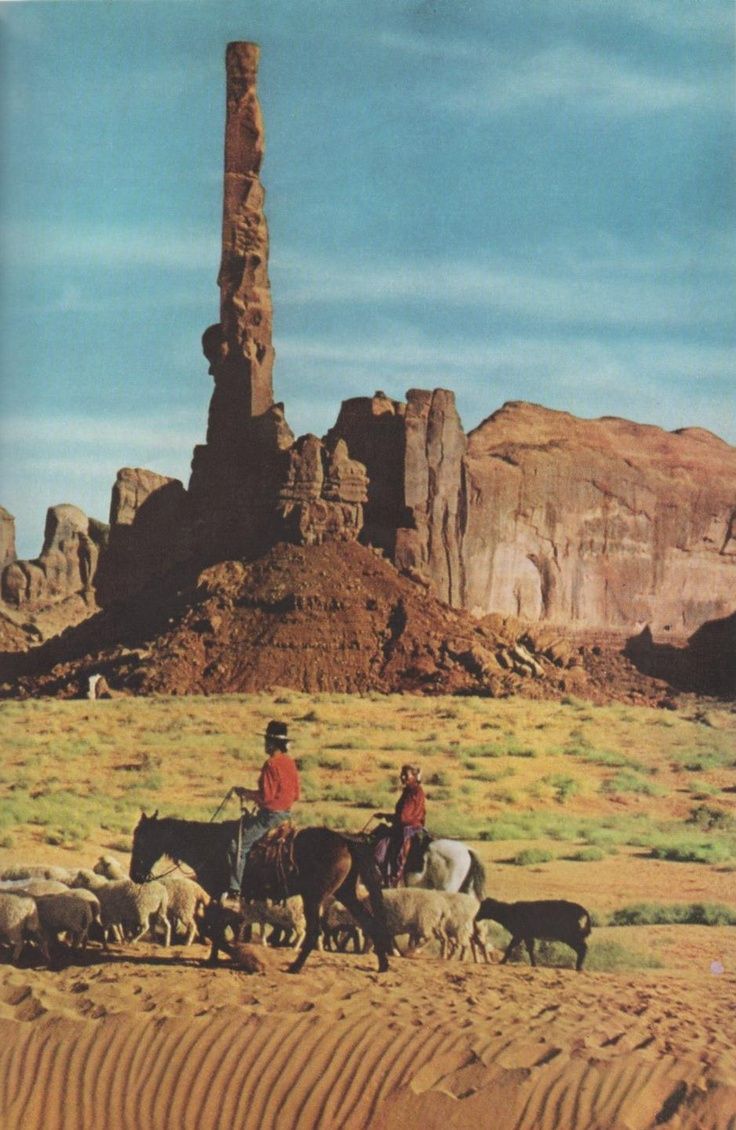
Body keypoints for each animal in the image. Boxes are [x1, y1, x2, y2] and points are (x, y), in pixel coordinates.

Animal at [128, 813, 391, 971]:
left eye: (140, 840)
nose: (135, 875)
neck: (207, 845)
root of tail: (346, 841)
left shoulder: (216, 890)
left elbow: (211, 927)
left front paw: (245, 958)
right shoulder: (217, 893)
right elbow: (214, 925)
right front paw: (213, 958)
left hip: (314, 896)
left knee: (314, 931)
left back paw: (295, 967)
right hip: (345, 892)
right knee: (369, 922)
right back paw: (383, 964)